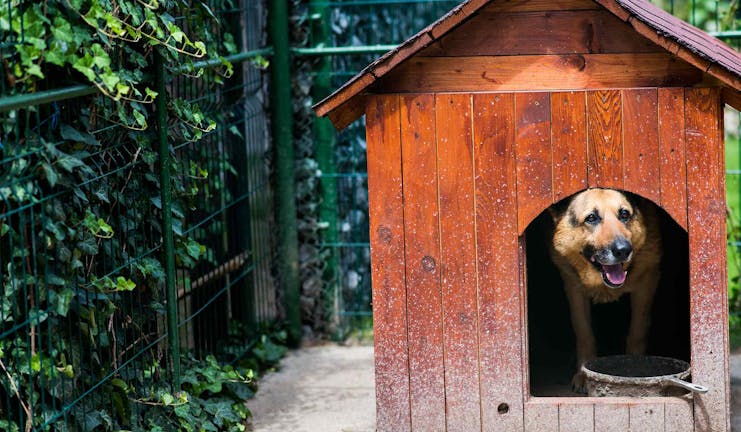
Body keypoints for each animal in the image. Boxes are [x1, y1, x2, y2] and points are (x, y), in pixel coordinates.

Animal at [548, 188, 660, 392]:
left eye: (624, 214)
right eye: (591, 218)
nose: (623, 250)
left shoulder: (646, 284)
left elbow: (637, 331)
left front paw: (636, 369)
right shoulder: (574, 290)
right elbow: (584, 333)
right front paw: (584, 375)